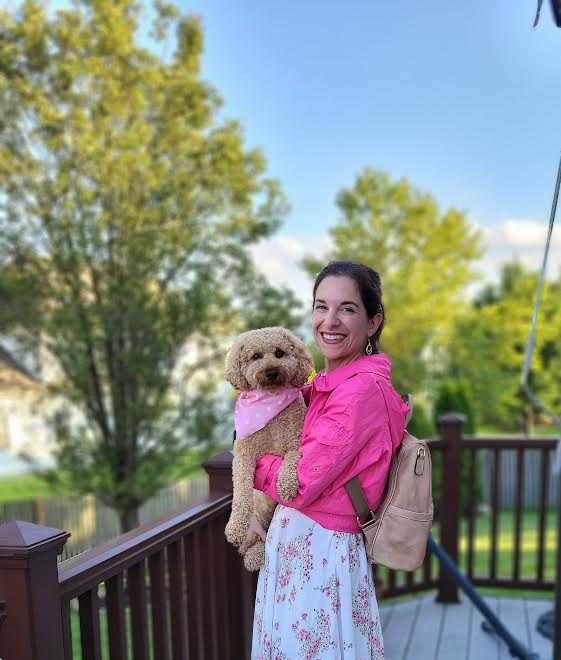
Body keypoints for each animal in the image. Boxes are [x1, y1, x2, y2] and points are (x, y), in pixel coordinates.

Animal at [223, 328, 312, 568]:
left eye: (279, 353)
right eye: (256, 357)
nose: (271, 371)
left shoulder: (295, 442)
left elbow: (290, 462)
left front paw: (286, 486)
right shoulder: (243, 455)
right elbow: (241, 491)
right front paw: (235, 527)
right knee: (251, 543)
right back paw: (253, 555)